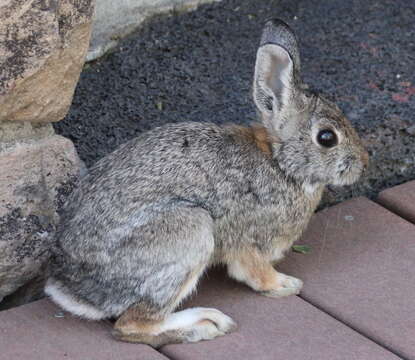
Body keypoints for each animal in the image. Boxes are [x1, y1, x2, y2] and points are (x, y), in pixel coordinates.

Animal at [45, 19, 370, 348]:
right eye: (327, 138)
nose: (363, 163)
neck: (280, 163)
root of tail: (73, 290)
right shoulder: (247, 238)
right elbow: (254, 271)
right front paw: (284, 284)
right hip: (191, 230)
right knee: (131, 325)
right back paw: (205, 324)